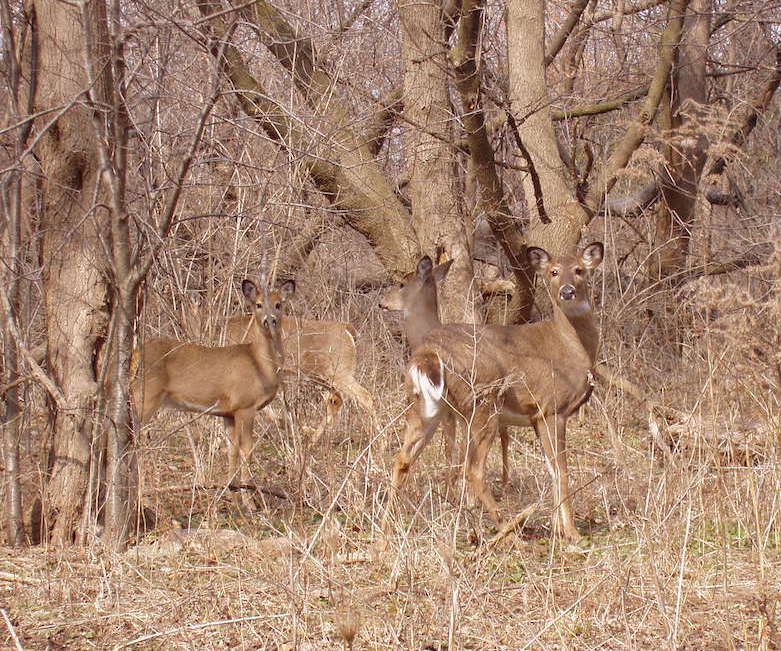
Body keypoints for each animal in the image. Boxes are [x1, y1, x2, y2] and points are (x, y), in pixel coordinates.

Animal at [133, 278, 288, 512]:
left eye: (278, 304)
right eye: (259, 304)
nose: (269, 321)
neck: (260, 364)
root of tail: (133, 355)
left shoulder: (228, 413)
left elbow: (232, 451)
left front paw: (233, 496)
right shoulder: (246, 406)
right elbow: (246, 451)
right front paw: (250, 503)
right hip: (146, 397)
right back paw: (142, 498)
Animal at [225, 280, 372, 444]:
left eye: (278, 304)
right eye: (258, 304)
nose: (270, 320)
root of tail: (347, 329)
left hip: (340, 371)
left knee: (365, 397)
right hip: (321, 376)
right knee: (335, 400)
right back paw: (312, 440)